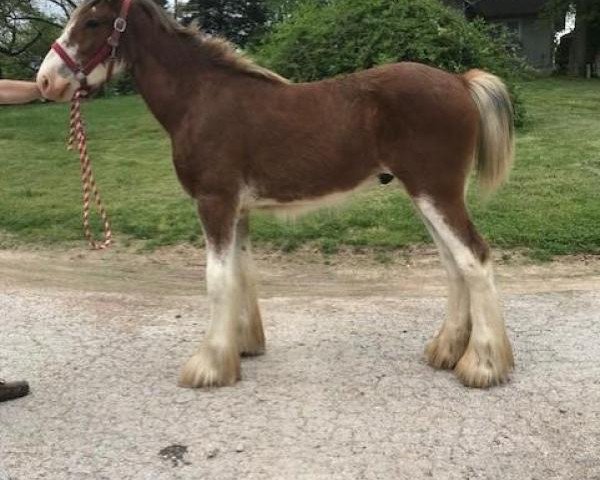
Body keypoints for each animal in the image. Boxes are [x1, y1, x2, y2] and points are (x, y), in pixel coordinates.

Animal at [37, 0, 516, 388]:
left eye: (93, 21)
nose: (45, 82)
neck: (200, 100)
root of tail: (459, 81)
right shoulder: (237, 209)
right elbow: (242, 274)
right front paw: (241, 347)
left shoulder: (215, 202)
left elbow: (217, 279)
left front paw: (209, 366)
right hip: (427, 195)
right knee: (454, 265)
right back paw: (447, 351)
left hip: (436, 192)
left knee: (474, 259)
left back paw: (483, 365)